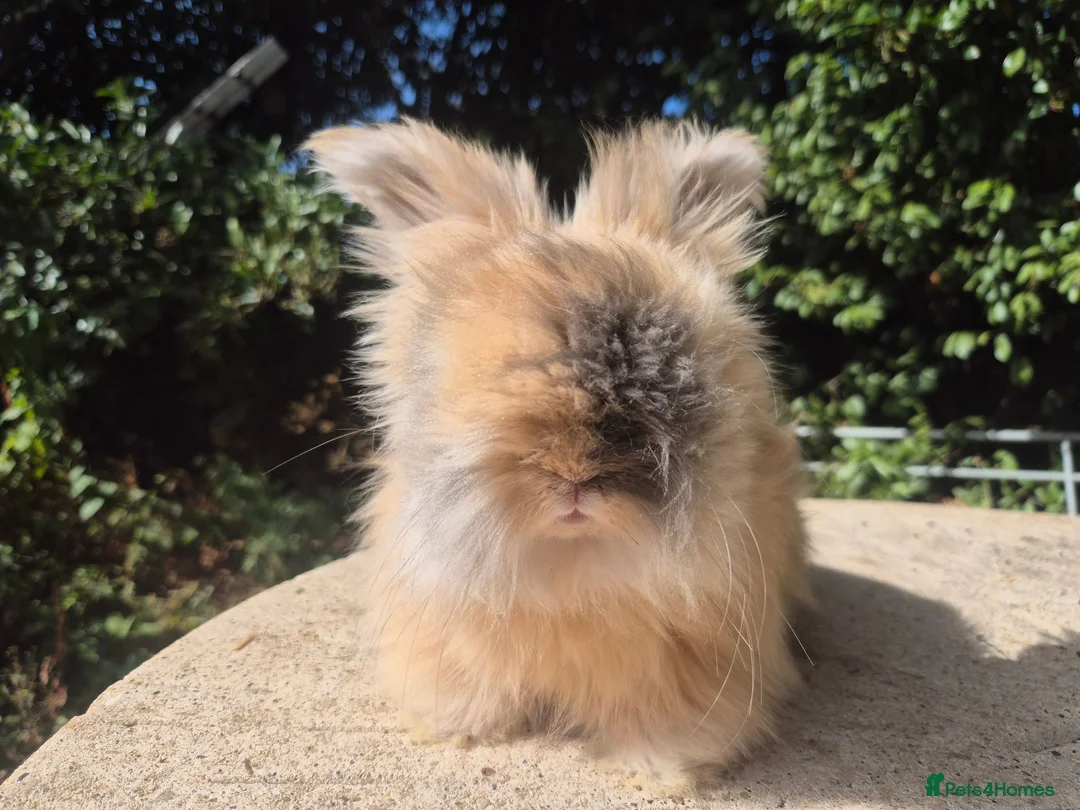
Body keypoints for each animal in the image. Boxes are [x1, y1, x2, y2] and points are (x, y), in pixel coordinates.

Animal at [304, 118, 811, 791]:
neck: (572, 565)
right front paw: (452, 728)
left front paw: (662, 768)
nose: (574, 476)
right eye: (479, 380)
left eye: (672, 371)